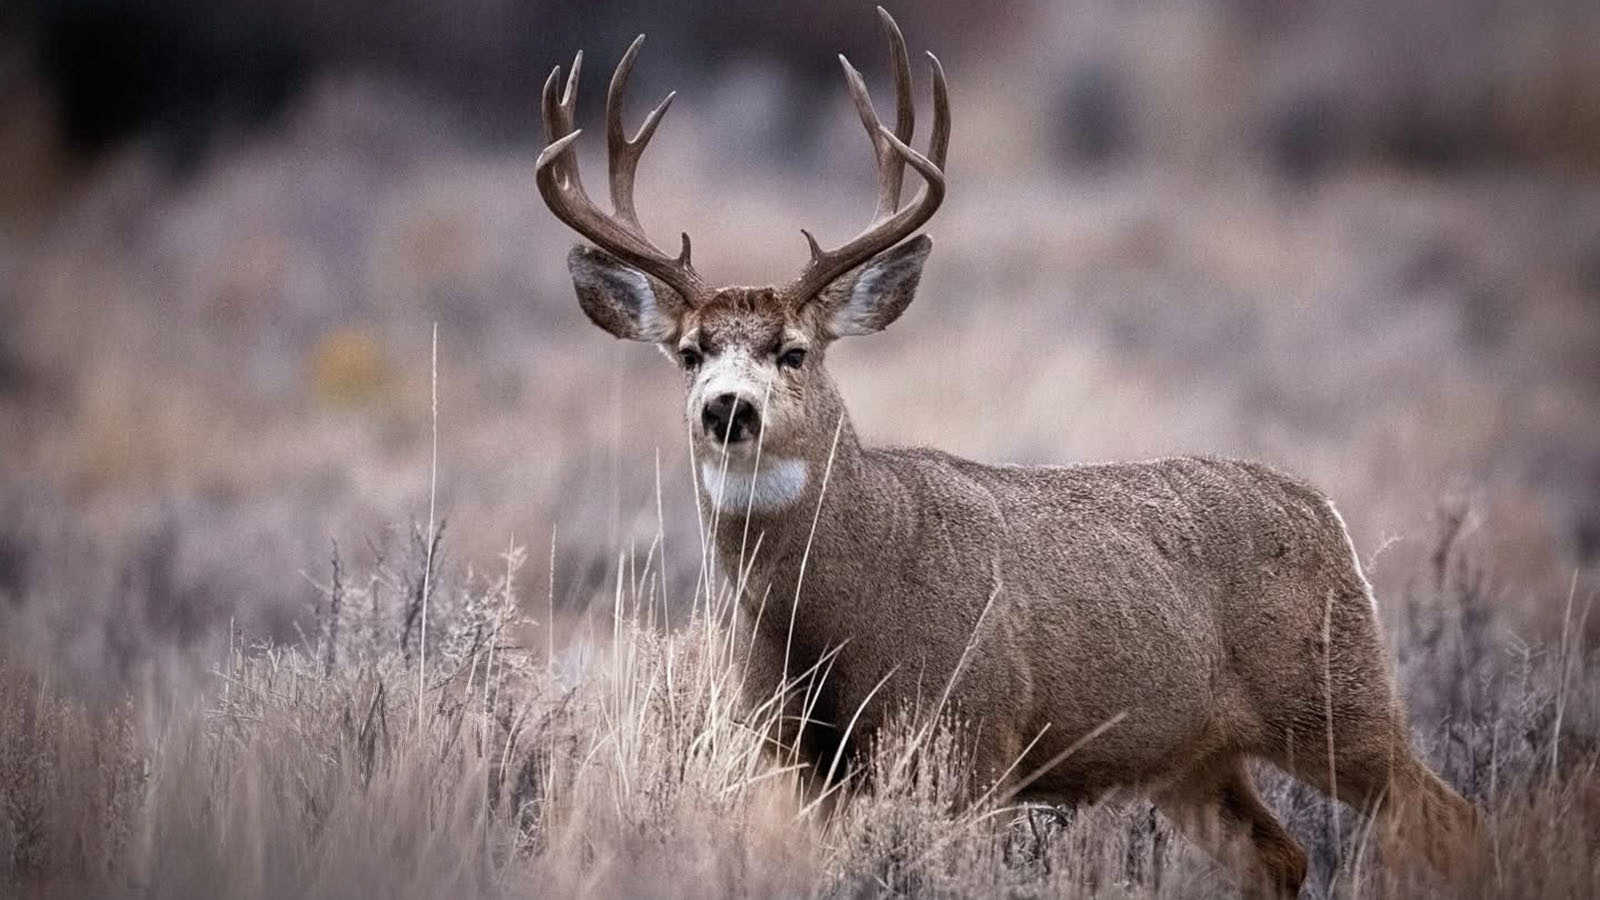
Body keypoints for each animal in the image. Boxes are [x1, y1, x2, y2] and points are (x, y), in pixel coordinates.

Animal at [533, 9, 1478, 897]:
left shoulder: (974, 733)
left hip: (1336, 699)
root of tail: (1326, 512)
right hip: (1196, 757)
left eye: (794, 351)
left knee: (1444, 814)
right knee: (1281, 854)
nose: (728, 408)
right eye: (690, 352)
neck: (832, 617)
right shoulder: (800, 757)